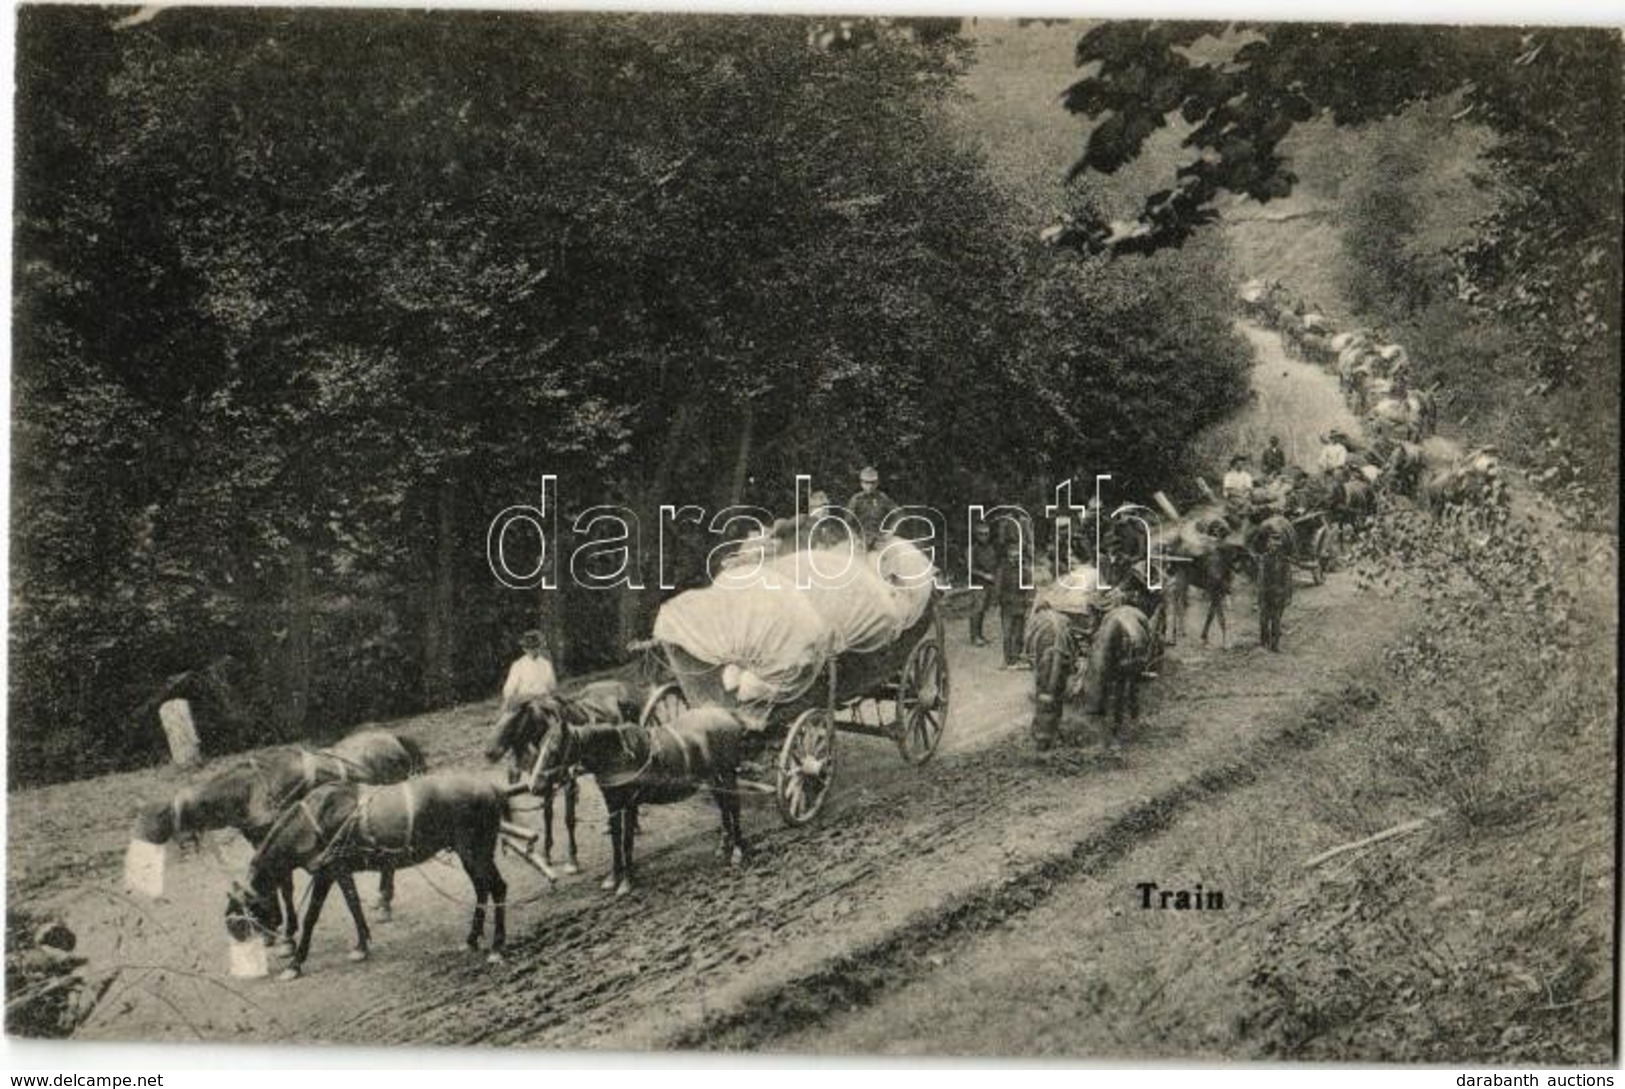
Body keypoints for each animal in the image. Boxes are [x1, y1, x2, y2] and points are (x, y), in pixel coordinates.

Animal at [134, 728, 425, 949]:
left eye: (157, 818)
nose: (141, 849)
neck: (253, 788)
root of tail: (392, 738)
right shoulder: (262, 840)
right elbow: (276, 883)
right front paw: (278, 929)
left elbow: (285, 886)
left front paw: (286, 933)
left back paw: (385, 902)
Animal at [225, 776, 507, 981]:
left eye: (240, 918)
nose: (245, 946)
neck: (314, 820)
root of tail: (491, 788)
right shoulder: (338, 871)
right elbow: (354, 906)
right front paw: (362, 945)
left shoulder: (329, 871)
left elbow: (312, 917)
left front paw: (295, 964)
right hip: (474, 853)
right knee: (483, 889)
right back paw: (472, 939)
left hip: (473, 851)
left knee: (498, 888)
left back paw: (497, 948)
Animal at [474, 682, 640, 877]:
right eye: (501, 713)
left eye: (518, 715)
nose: (489, 752)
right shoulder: (545, 782)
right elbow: (547, 816)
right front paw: (547, 855)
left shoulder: (568, 782)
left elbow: (569, 819)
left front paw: (572, 860)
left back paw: (635, 825)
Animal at [529, 705, 744, 897]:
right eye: (539, 748)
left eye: (554, 751)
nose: (534, 786)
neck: (618, 754)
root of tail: (727, 714)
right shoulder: (612, 804)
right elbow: (615, 839)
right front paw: (613, 878)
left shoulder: (630, 804)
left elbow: (626, 842)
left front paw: (627, 882)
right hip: (713, 777)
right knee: (724, 806)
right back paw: (723, 845)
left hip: (727, 774)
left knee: (734, 807)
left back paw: (738, 851)